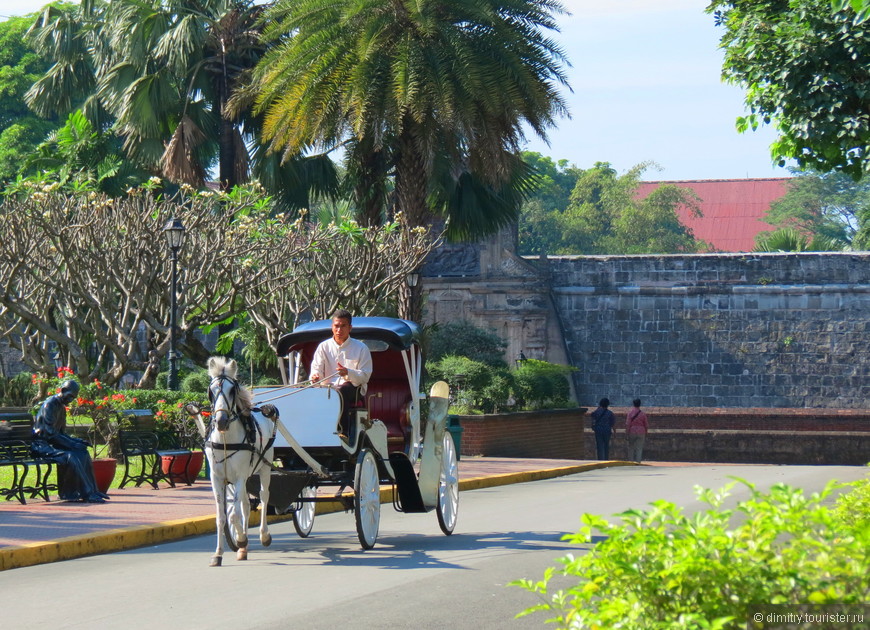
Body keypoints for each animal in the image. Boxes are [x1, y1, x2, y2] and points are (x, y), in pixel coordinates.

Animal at [201, 358, 276, 572]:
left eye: (231, 390)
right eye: (211, 390)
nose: (221, 421)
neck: (226, 439)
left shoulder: (241, 477)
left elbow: (234, 515)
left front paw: (241, 539)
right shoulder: (217, 478)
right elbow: (222, 517)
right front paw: (218, 554)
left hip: (264, 467)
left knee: (264, 496)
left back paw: (263, 535)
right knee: (245, 505)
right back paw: (243, 549)